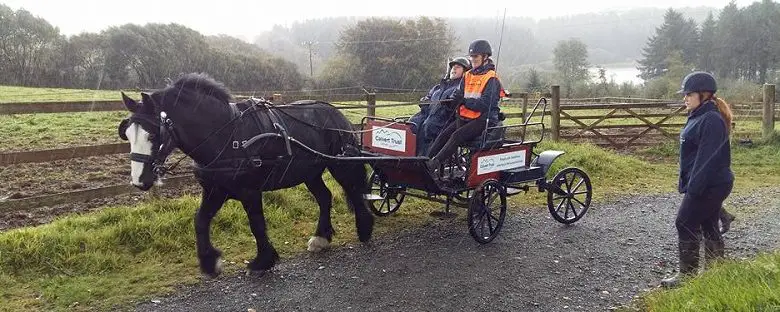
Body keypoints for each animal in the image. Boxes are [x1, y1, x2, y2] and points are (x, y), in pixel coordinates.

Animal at [119, 73, 374, 278]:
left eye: (153, 134)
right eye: (128, 133)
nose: (139, 181)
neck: (227, 135)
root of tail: (334, 112)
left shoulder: (249, 191)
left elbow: (257, 224)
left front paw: (262, 261)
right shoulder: (215, 190)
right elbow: (200, 221)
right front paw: (210, 263)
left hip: (339, 164)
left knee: (352, 189)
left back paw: (364, 228)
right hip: (309, 172)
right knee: (324, 197)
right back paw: (321, 237)